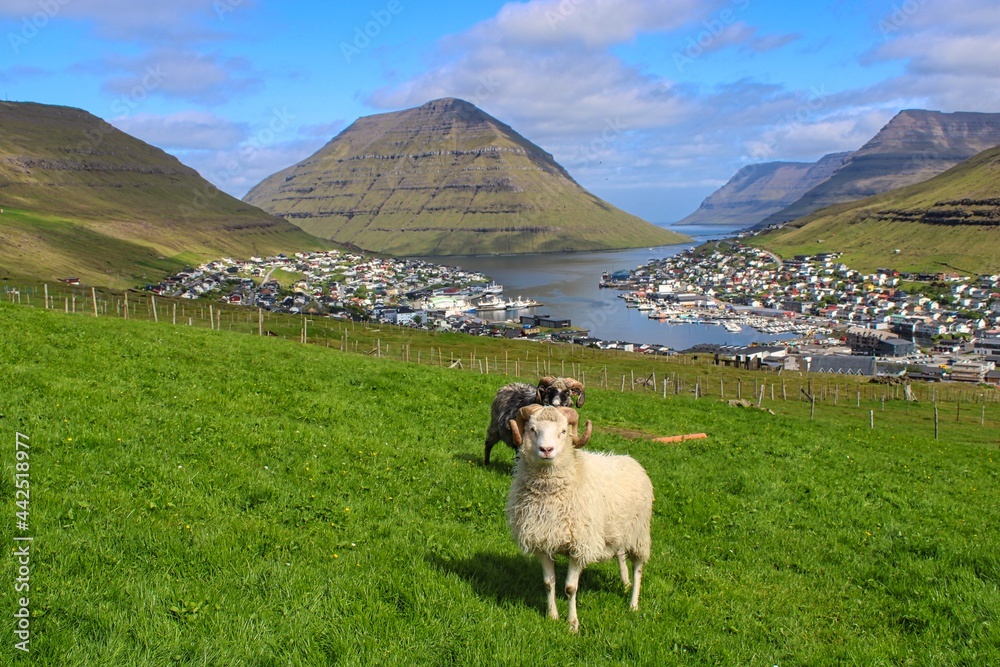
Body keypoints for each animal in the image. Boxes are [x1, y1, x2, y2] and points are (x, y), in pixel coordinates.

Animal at [505, 404, 653, 633]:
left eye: (563, 431)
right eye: (532, 429)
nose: (546, 450)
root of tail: (630, 460)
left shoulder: (579, 546)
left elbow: (570, 588)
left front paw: (572, 624)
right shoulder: (542, 542)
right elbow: (549, 583)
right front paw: (552, 616)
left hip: (639, 534)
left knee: (638, 568)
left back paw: (633, 603)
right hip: (616, 531)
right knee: (620, 554)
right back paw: (625, 582)